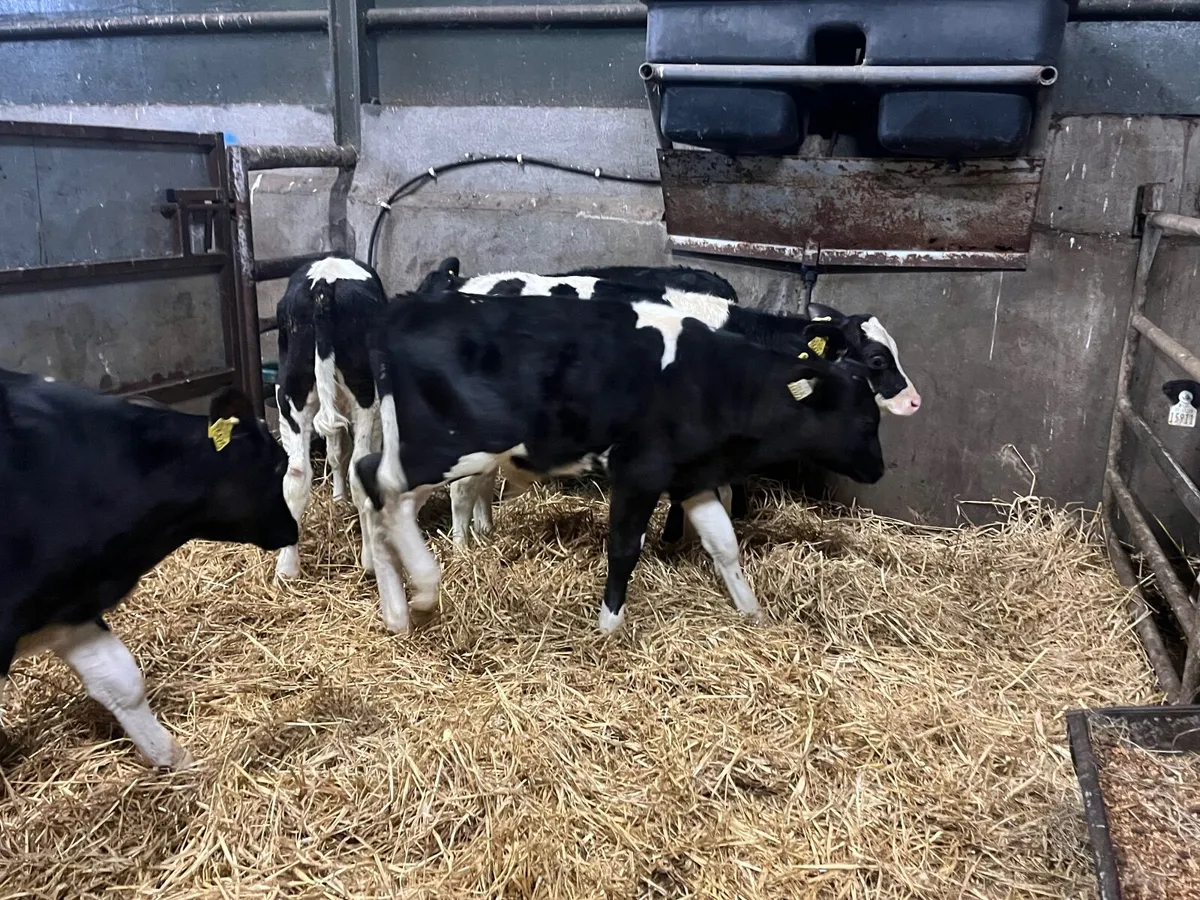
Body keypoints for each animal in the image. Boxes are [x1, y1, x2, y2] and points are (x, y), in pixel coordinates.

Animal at [273, 254, 386, 579]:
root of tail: (325, 282)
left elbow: (335, 453)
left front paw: (337, 499)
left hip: (290, 392)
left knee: (296, 474)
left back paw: (287, 568)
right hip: (366, 393)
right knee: (358, 467)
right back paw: (370, 561)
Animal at [353, 289, 886, 636]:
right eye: (865, 419)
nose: (880, 470)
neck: (718, 382)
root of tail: (405, 310)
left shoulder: (691, 477)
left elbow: (725, 545)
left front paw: (752, 613)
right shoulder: (640, 471)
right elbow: (625, 548)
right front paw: (609, 625)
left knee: (369, 482)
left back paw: (395, 612)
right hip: (450, 446)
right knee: (389, 493)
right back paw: (424, 591)